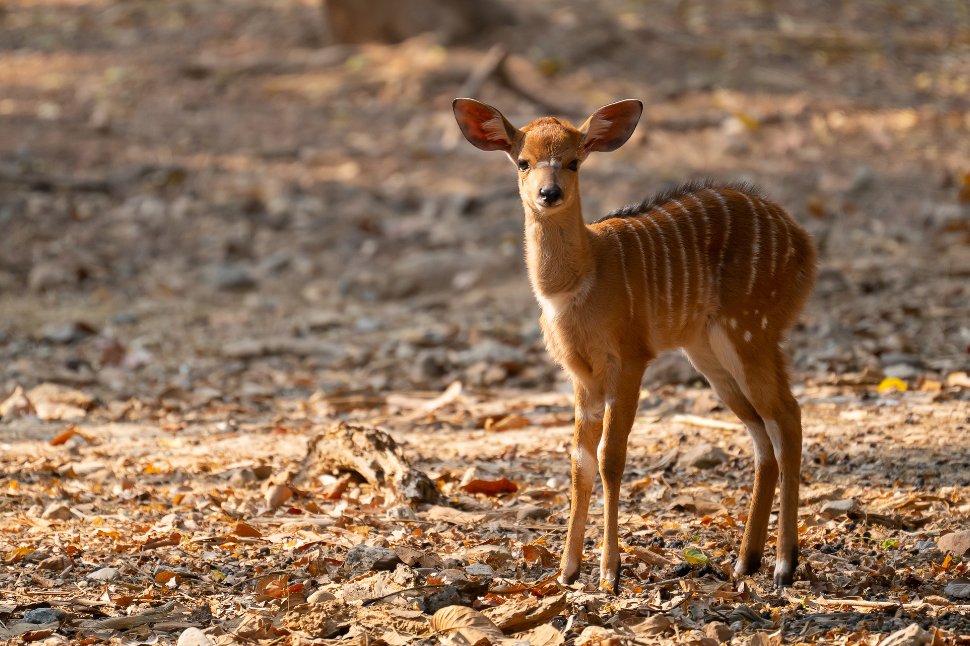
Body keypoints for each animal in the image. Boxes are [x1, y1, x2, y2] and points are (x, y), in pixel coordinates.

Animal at [454, 97, 816, 592]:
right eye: (522, 161)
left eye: (574, 160)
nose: (549, 194)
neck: (577, 283)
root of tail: (805, 244)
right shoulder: (581, 376)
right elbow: (579, 461)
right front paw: (567, 571)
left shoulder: (628, 359)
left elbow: (611, 457)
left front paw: (610, 572)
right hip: (710, 353)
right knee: (764, 433)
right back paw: (746, 561)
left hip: (751, 331)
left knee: (787, 417)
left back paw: (784, 564)